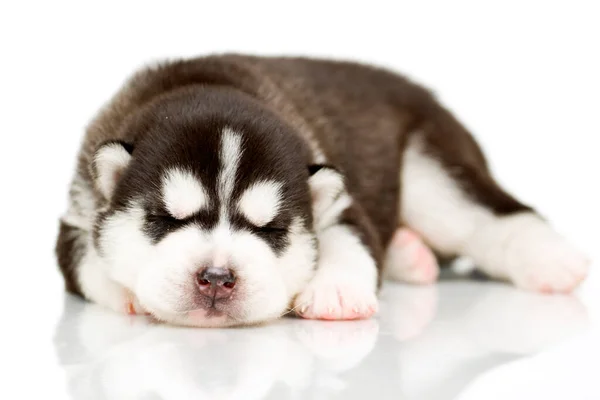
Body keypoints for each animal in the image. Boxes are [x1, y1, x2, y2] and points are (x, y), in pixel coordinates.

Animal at [56, 53, 592, 326]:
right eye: (166, 220)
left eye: (270, 230)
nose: (216, 278)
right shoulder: (77, 212)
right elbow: (86, 262)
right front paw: (124, 289)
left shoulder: (340, 198)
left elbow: (351, 240)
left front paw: (335, 289)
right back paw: (410, 256)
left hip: (431, 173)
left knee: (487, 214)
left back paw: (551, 259)